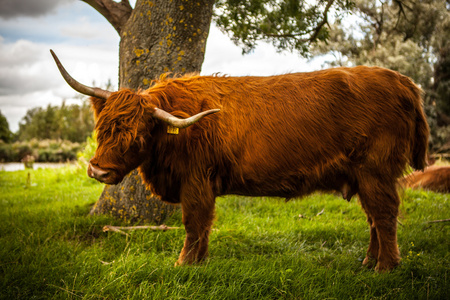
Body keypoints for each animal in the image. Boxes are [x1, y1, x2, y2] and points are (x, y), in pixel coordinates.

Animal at [50, 49, 428, 272]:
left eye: (138, 136)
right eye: (102, 128)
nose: (98, 170)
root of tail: (404, 82)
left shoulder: (196, 181)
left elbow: (194, 223)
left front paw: (184, 264)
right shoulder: (203, 184)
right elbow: (203, 225)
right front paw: (200, 263)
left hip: (375, 170)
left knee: (385, 214)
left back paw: (384, 267)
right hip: (363, 176)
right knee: (374, 218)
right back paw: (368, 261)